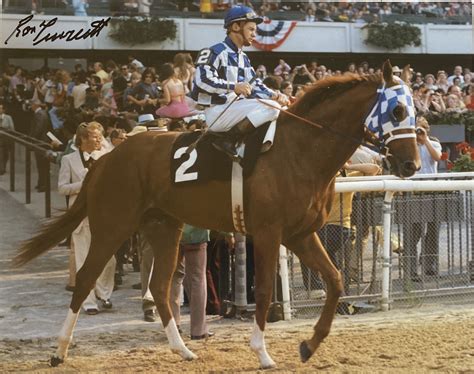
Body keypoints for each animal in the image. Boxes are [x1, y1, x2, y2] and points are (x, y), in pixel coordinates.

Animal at [13, 61, 418, 368]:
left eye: (414, 110)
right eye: (397, 110)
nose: (411, 164)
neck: (299, 151)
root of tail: (106, 158)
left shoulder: (301, 234)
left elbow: (334, 280)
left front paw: (309, 344)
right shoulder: (269, 233)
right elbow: (266, 289)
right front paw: (263, 353)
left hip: (164, 227)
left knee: (160, 287)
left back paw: (183, 350)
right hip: (112, 225)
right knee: (85, 279)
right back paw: (59, 351)